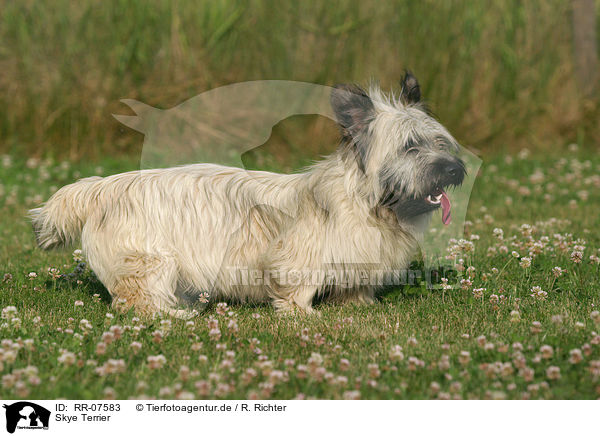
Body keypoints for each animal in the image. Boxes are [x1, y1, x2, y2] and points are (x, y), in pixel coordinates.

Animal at [30, 73, 466, 318]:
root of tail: (100, 187)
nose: (454, 169)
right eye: (410, 147)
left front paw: (360, 305)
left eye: (440, 142)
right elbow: (296, 287)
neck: (368, 200)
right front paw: (302, 315)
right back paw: (176, 318)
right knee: (138, 304)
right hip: (150, 262)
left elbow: (355, 285)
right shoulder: (295, 256)